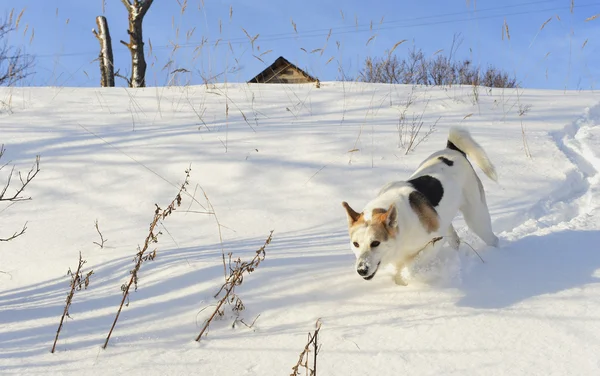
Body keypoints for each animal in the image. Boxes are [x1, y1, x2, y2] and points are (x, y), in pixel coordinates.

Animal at [340, 126, 500, 284]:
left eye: (375, 243)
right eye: (355, 244)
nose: (362, 269)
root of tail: (453, 150)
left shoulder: (435, 241)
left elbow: (411, 265)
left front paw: (405, 279)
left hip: (476, 218)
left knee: (491, 238)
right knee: (455, 240)